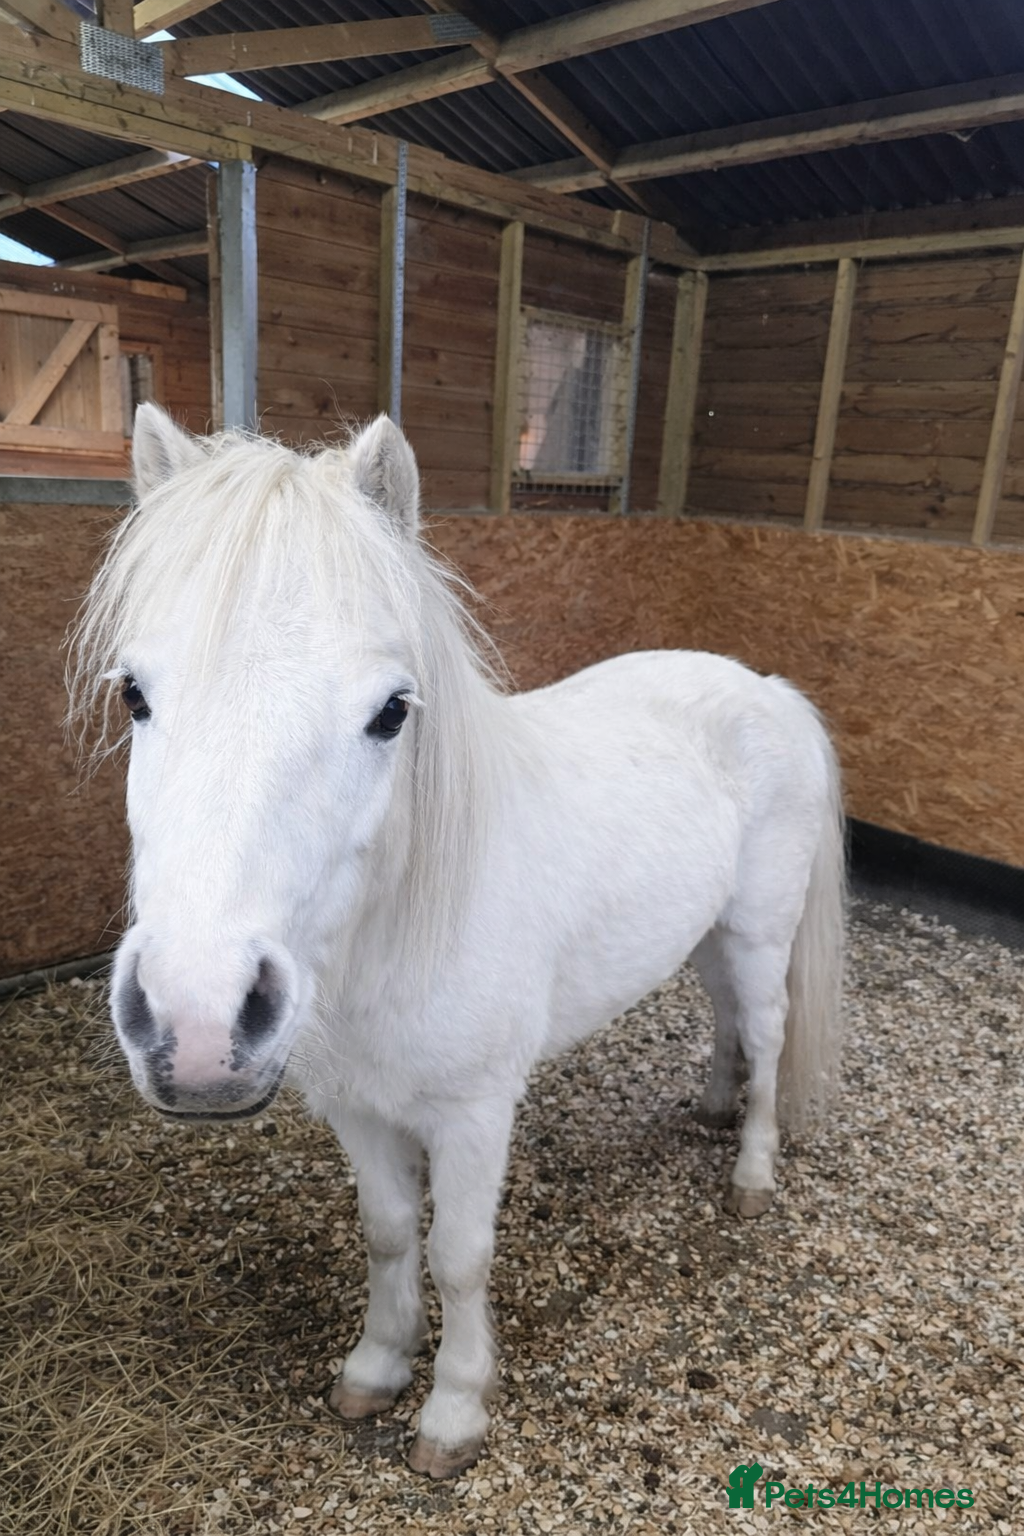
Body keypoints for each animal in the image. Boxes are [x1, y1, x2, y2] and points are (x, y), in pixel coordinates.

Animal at [70, 404, 844, 1479]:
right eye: (135, 694)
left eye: (391, 712)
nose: (198, 1022)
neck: (394, 935)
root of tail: (765, 686)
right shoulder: (357, 1109)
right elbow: (391, 1233)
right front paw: (376, 1368)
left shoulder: (476, 1114)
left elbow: (459, 1256)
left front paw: (453, 1411)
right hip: (705, 937)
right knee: (728, 1021)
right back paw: (712, 1106)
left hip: (762, 933)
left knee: (767, 1035)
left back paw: (751, 1176)